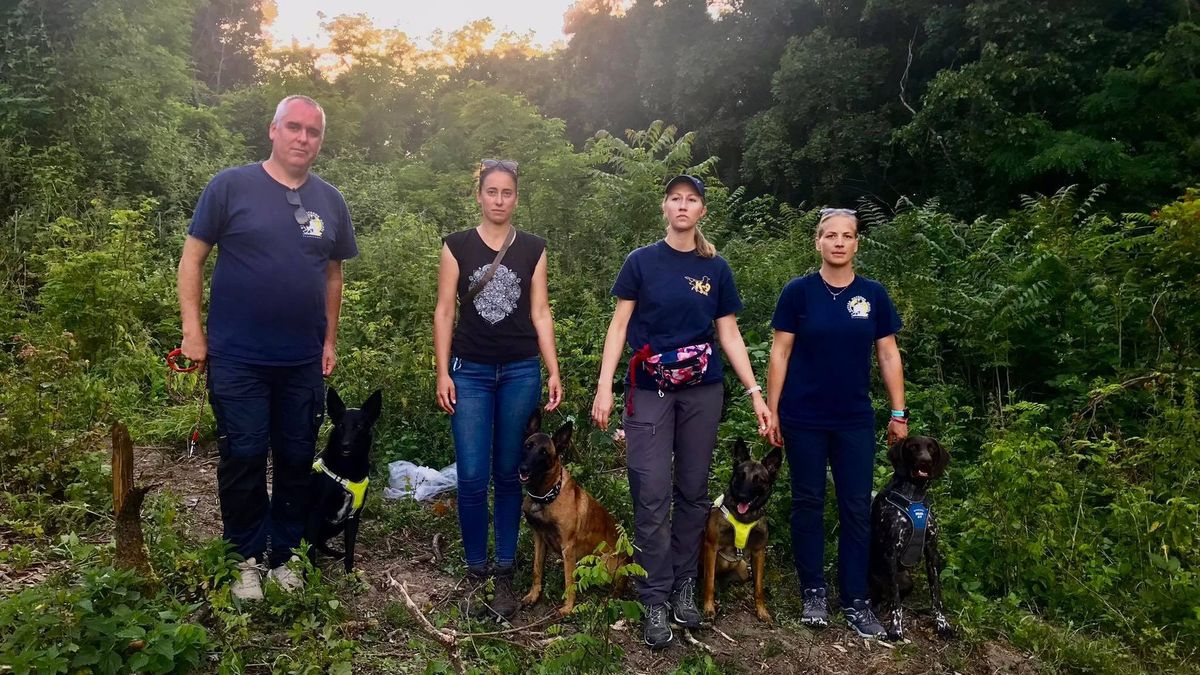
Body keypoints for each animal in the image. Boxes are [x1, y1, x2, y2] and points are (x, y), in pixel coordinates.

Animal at [304, 386, 379, 569]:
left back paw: (337, 554)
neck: (347, 469)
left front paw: (350, 573)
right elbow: (310, 551)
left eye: (359, 426)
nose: (346, 446)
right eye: (340, 425)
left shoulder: (353, 517)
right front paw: (308, 574)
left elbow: (350, 549)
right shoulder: (315, 513)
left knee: (321, 543)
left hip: (337, 526)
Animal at [518, 410, 628, 614]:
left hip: (603, 561)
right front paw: (533, 595)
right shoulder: (539, 537)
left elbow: (569, 580)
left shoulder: (568, 546)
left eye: (544, 453)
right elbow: (536, 569)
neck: (546, 496)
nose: (523, 469)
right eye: (528, 446)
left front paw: (568, 608)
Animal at [700, 437, 782, 619]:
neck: (744, 519)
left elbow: (758, 587)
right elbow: (709, 583)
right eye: (740, 475)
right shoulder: (711, 547)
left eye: (759, 480)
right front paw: (709, 608)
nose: (742, 496)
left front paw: (762, 611)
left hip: (743, 568)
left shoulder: (759, 552)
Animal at [868, 432, 950, 638]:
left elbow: (936, 594)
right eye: (913, 447)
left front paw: (942, 624)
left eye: (931, 448)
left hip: (907, 579)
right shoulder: (890, 552)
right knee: (883, 595)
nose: (925, 461)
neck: (914, 496)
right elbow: (896, 599)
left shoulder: (932, 552)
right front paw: (896, 628)